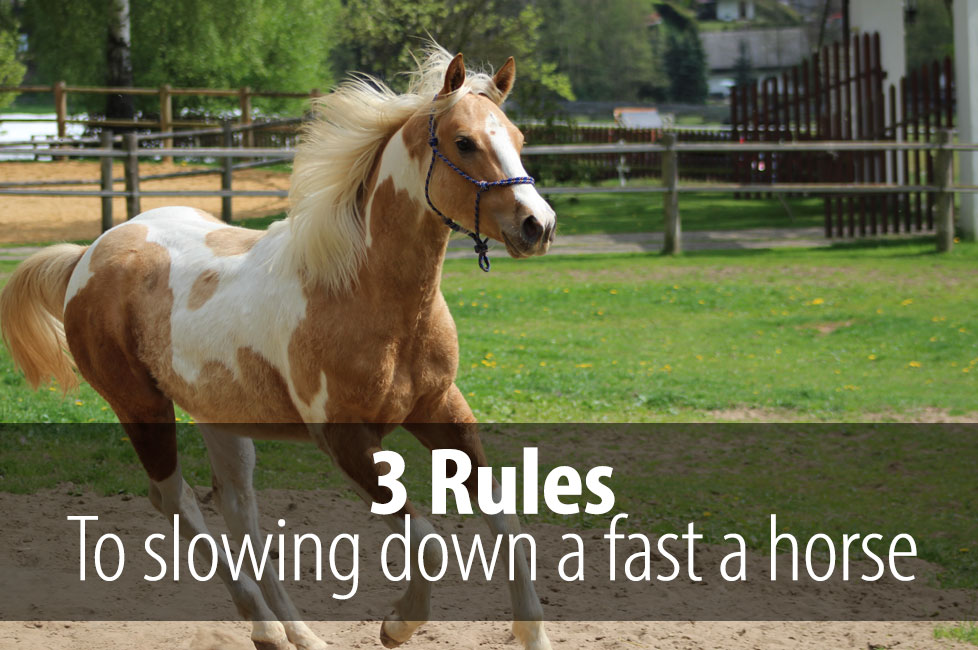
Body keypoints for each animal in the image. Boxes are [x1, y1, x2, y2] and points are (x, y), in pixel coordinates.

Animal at [0, 46, 556, 650]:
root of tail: (88, 256)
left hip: (221, 417)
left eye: (519, 137)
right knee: (176, 500)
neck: (363, 292)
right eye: (464, 142)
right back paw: (266, 625)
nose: (539, 224)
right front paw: (396, 624)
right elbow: (429, 539)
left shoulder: (442, 410)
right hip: (141, 408)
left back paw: (299, 634)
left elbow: (505, 520)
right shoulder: (346, 440)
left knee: (237, 508)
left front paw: (533, 635)